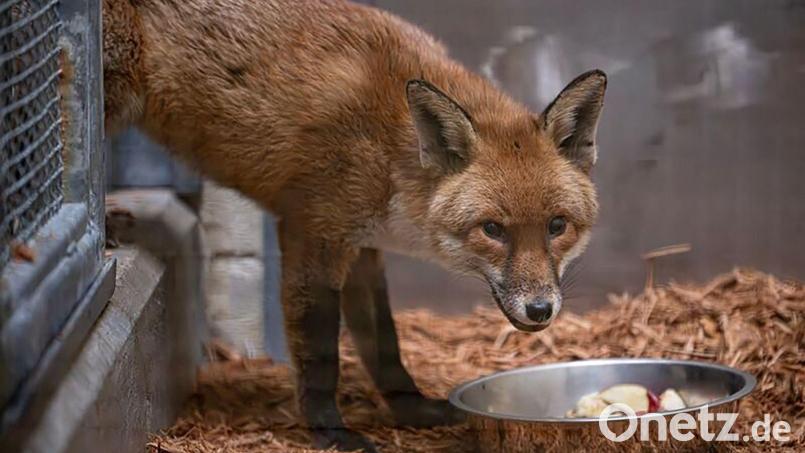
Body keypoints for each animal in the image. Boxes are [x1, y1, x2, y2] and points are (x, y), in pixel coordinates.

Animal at [102, 0, 605, 451]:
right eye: (493, 230)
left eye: (557, 226)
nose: (540, 310)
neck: (390, 149)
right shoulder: (313, 232)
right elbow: (321, 352)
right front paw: (330, 432)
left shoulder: (364, 247)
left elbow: (384, 344)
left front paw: (412, 409)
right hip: (113, 93)